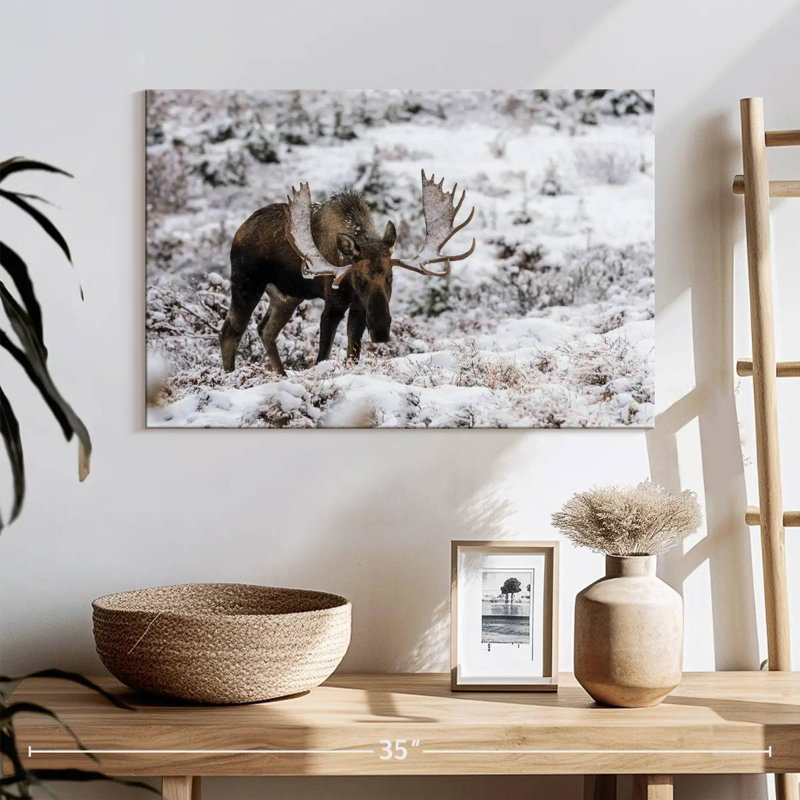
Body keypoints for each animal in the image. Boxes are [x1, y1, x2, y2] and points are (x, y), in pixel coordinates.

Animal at [219, 170, 475, 375]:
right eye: (359, 278)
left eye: (391, 277)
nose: (381, 329)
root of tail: (240, 230)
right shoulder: (333, 303)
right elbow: (322, 356)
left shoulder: (359, 307)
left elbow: (353, 355)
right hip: (247, 282)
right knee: (231, 330)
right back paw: (229, 377)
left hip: (287, 296)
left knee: (265, 330)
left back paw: (280, 374)